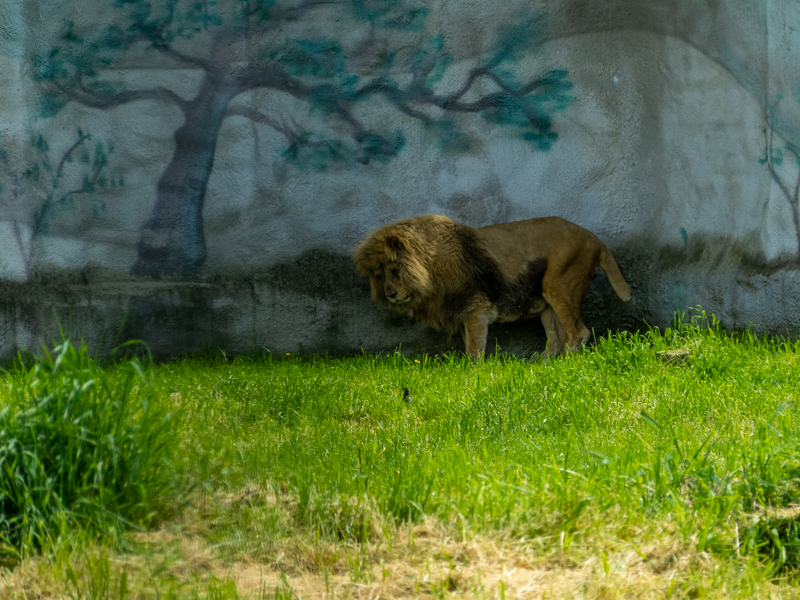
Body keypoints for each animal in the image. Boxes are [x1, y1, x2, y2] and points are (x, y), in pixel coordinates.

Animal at [352, 214, 632, 362]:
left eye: (395, 272)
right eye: (379, 276)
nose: (390, 294)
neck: (431, 269)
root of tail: (594, 238)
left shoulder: (476, 309)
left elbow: (474, 350)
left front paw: (472, 374)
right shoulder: (461, 314)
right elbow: (468, 346)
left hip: (561, 287)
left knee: (578, 333)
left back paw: (566, 363)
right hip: (545, 300)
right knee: (557, 339)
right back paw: (540, 363)